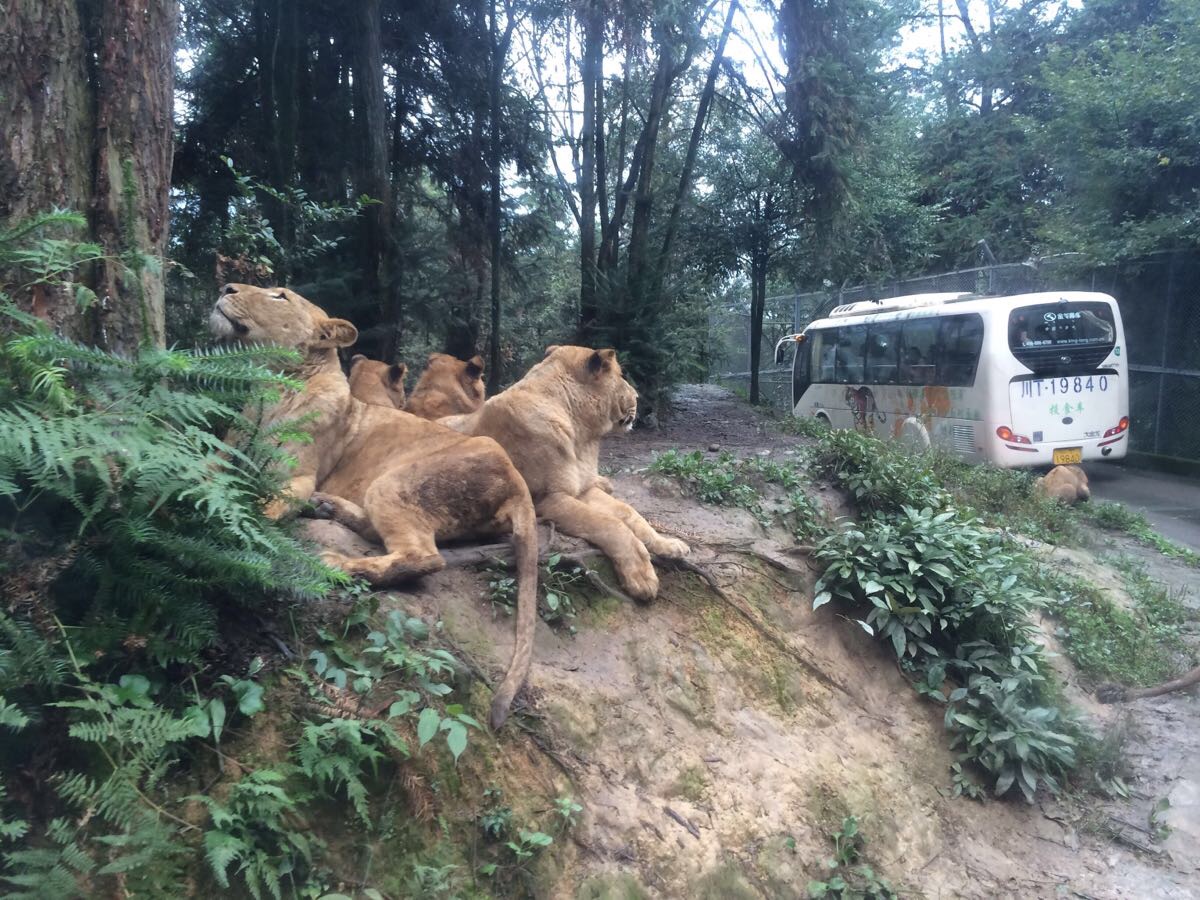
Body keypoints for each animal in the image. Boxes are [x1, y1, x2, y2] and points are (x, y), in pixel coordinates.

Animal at [212, 285, 540, 729]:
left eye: (280, 295)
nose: (226, 287)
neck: (272, 387)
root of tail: (517, 482)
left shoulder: (297, 478)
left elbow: (258, 513)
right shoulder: (222, 453)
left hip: (395, 481)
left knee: (422, 557)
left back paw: (334, 562)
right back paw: (327, 508)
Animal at [439, 348, 686, 602]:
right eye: (620, 376)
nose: (637, 395)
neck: (582, 435)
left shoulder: (582, 489)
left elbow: (629, 512)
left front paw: (669, 545)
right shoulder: (548, 498)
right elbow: (607, 522)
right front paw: (640, 575)